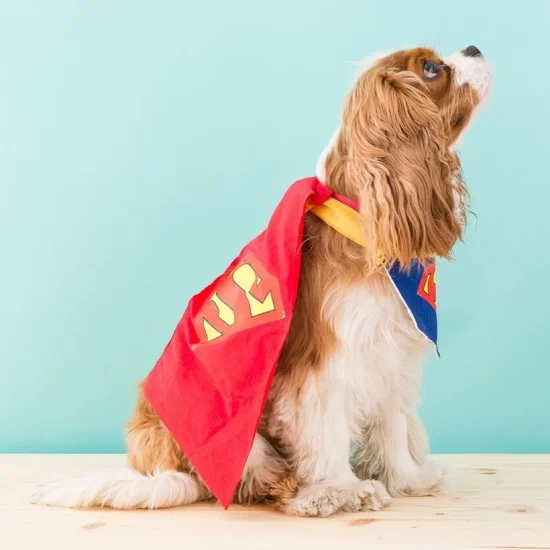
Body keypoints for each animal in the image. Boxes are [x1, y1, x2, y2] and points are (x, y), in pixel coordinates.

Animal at [32, 45, 494, 520]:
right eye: (431, 69)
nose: (474, 48)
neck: (363, 225)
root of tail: (163, 468)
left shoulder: (389, 357)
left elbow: (393, 427)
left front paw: (405, 478)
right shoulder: (324, 365)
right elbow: (326, 432)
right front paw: (341, 488)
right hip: (228, 431)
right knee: (259, 482)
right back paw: (307, 493)